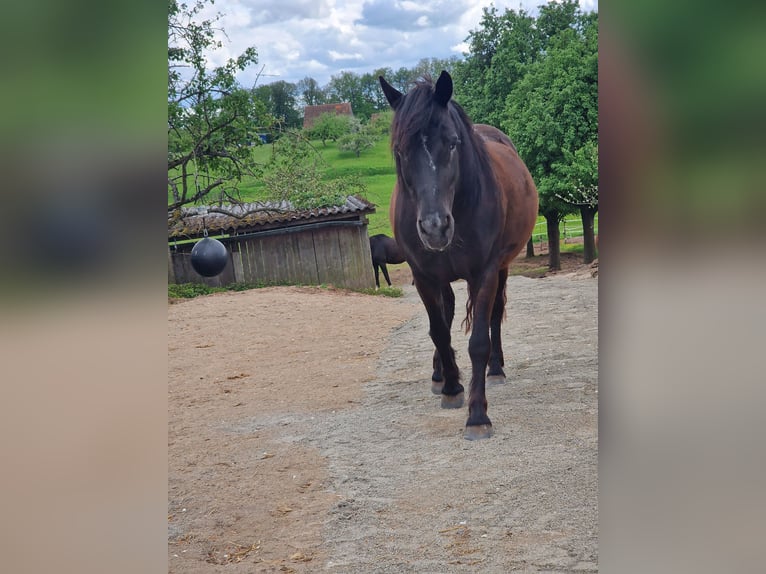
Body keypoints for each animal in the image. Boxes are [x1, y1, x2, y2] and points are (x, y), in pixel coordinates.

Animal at [380, 72, 540, 440]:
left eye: (452, 143)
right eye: (400, 150)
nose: (435, 227)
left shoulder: (485, 272)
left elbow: (479, 340)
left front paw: (477, 415)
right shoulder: (423, 276)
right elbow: (439, 331)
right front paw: (452, 387)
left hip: (502, 269)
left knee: (493, 315)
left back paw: (495, 369)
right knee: (447, 314)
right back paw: (441, 375)